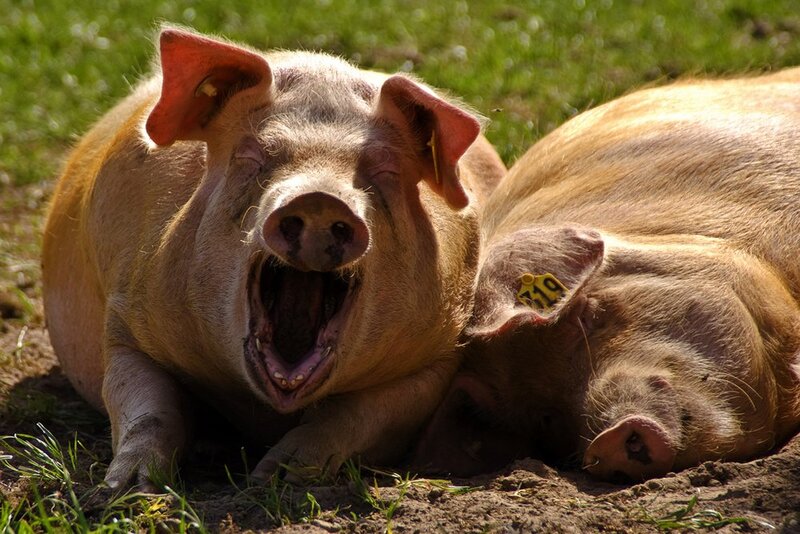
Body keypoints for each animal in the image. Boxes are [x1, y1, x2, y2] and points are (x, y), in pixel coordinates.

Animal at [41, 27, 506, 490]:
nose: (319, 199)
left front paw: (273, 477)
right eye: (252, 156)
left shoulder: (439, 355)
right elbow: (145, 405)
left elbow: (354, 415)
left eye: (384, 170)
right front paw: (128, 489)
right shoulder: (127, 320)